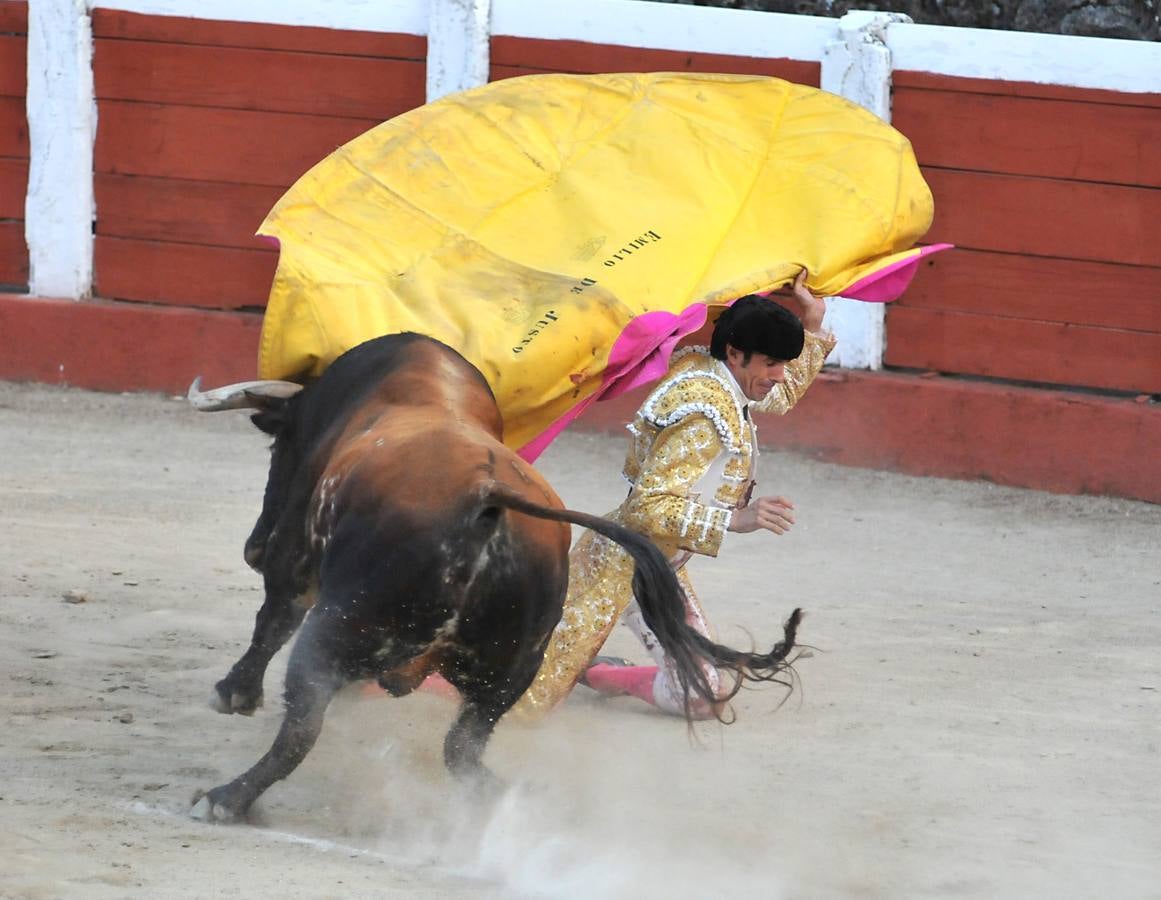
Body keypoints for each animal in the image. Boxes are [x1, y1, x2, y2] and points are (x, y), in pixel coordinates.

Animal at [185, 332, 803, 822]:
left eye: (281, 443)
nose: (253, 547)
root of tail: (488, 500)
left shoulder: (294, 562)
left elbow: (272, 619)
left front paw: (234, 693)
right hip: (513, 666)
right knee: (464, 748)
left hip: (340, 629)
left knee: (303, 726)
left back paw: (223, 798)